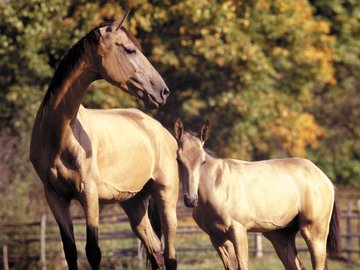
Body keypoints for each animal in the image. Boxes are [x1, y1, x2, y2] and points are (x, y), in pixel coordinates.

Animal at [30, 11, 179, 270]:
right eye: (130, 50)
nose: (163, 92)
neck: (59, 135)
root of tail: (160, 130)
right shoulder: (56, 198)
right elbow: (70, 251)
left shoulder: (89, 195)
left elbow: (93, 252)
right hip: (134, 204)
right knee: (156, 250)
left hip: (166, 198)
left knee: (170, 255)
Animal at [174, 119, 340, 270]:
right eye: (179, 160)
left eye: (203, 161)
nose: (191, 199)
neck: (218, 187)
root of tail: (325, 179)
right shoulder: (216, 237)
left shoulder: (238, 231)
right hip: (280, 236)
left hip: (314, 231)